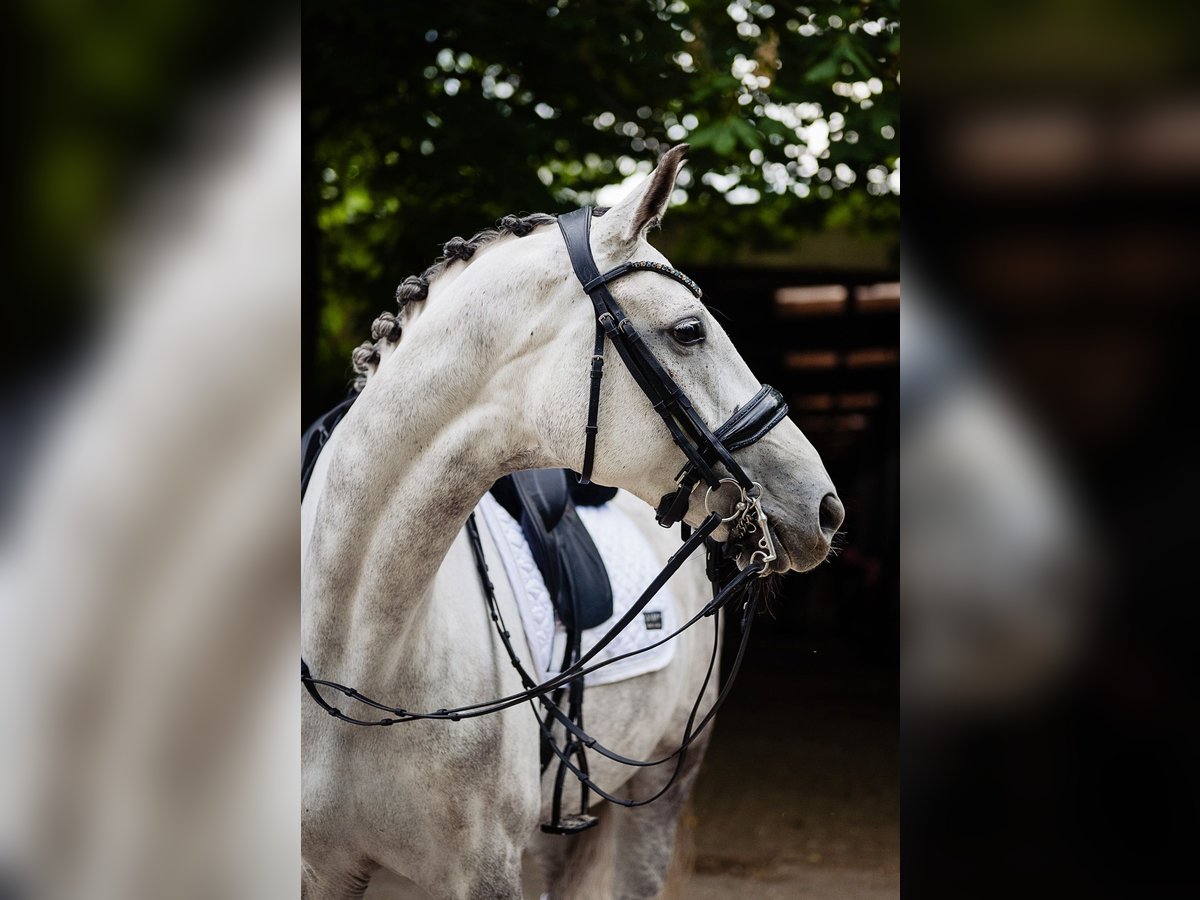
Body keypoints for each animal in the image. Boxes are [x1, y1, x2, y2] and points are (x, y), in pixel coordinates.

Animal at [301, 145, 842, 899]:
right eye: (689, 330)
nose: (824, 506)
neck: (356, 664)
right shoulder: (320, 870)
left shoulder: (484, 872)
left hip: (664, 783)